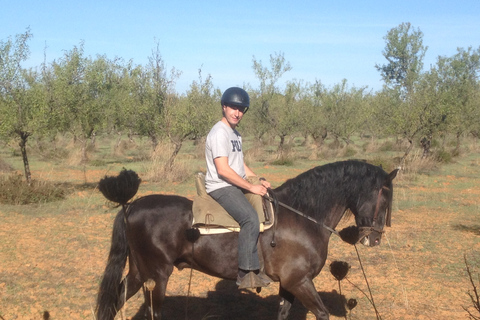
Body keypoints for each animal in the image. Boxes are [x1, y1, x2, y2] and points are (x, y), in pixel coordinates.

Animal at [94, 160, 398, 320]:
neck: (302, 216)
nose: (375, 239)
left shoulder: (289, 285)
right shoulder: (299, 282)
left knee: (116, 299)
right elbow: (322, 314)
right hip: (157, 276)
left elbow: (283, 314)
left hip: (139, 271)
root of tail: (131, 206)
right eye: (384, 197)